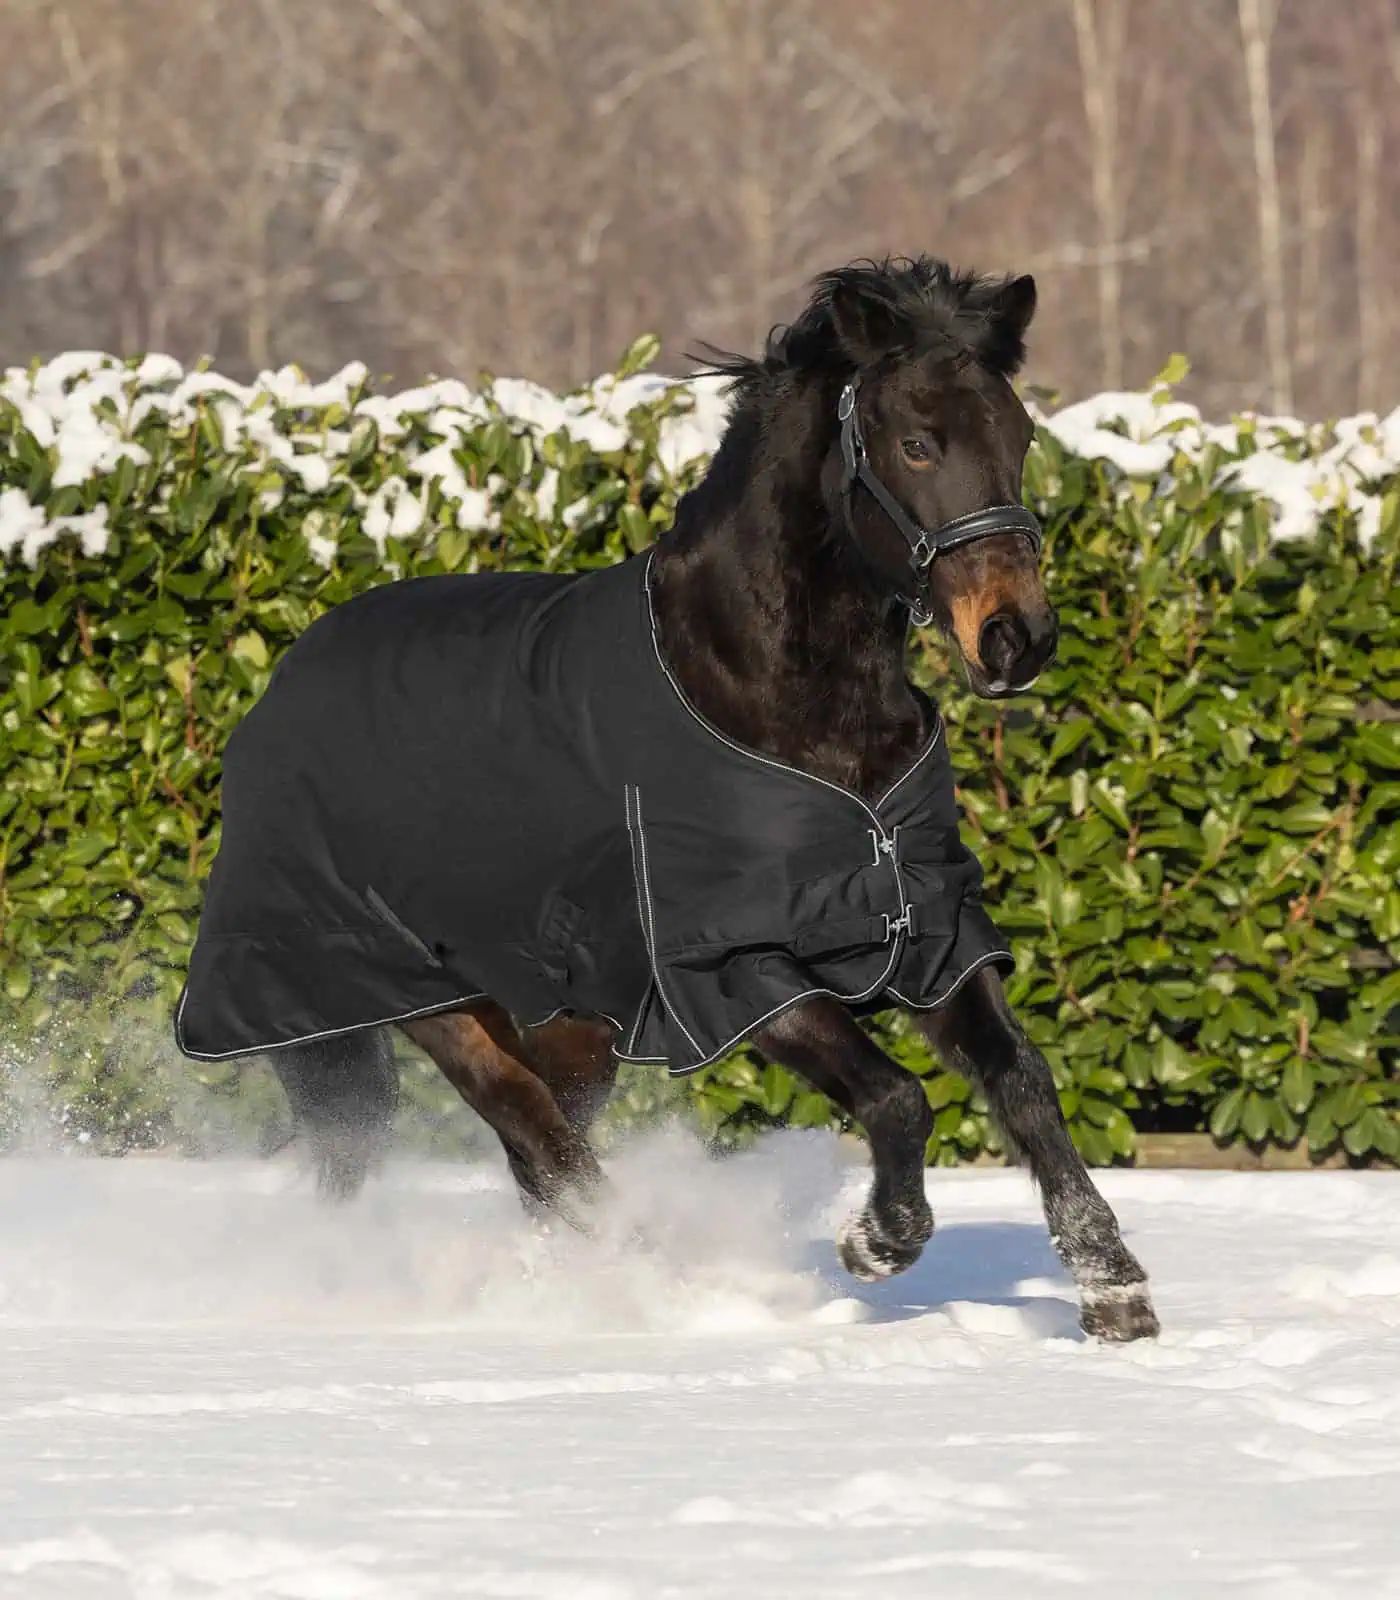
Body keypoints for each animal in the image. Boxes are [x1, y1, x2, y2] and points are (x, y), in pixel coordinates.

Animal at [177, 256, 1158, 1343]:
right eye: (916, 440)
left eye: (1017, 437)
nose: (1015, 639)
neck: (774, 688)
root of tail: (276, 694)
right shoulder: (731, 968)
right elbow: (896, 1095)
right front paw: (879, 1240)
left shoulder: (924, 928)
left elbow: (1022, 1079)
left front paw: (1113, 1289)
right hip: (411, 994)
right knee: (539, 1139)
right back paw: (651, 1285)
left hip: (568, 1023)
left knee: (538, 1153)